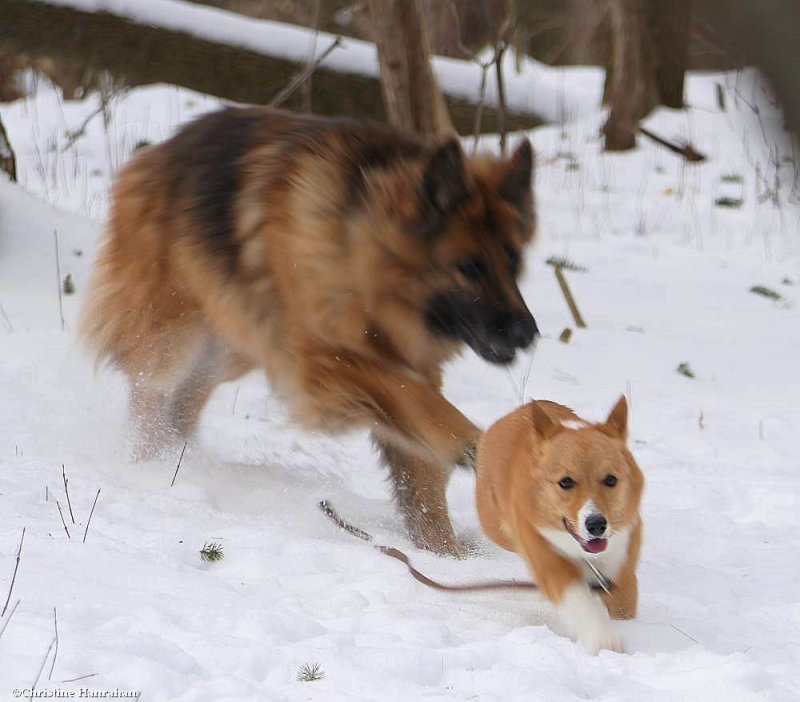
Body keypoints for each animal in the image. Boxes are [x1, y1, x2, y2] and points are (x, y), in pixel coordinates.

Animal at [81, 106, 536, 556]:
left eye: (513, 261)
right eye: (470, 266)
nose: (528, 333)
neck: (359, 241)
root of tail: (155, 153)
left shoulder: (406, 364)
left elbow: (419, 465)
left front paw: (445, 553)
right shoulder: (322, 361)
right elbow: (416, 398)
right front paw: (476, 445)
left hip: (236, 341)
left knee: (184, 401)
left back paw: (180, 459)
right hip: (178, 336)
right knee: (150, 394)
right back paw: (150, 468)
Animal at [476, 398, 644, 656]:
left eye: (611, 479)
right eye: (566, 482)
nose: (596, 524)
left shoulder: (621, 567)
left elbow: (623, 601)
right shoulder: (548, 560)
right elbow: (578, 600)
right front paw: (602, 640)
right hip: (497, 528)